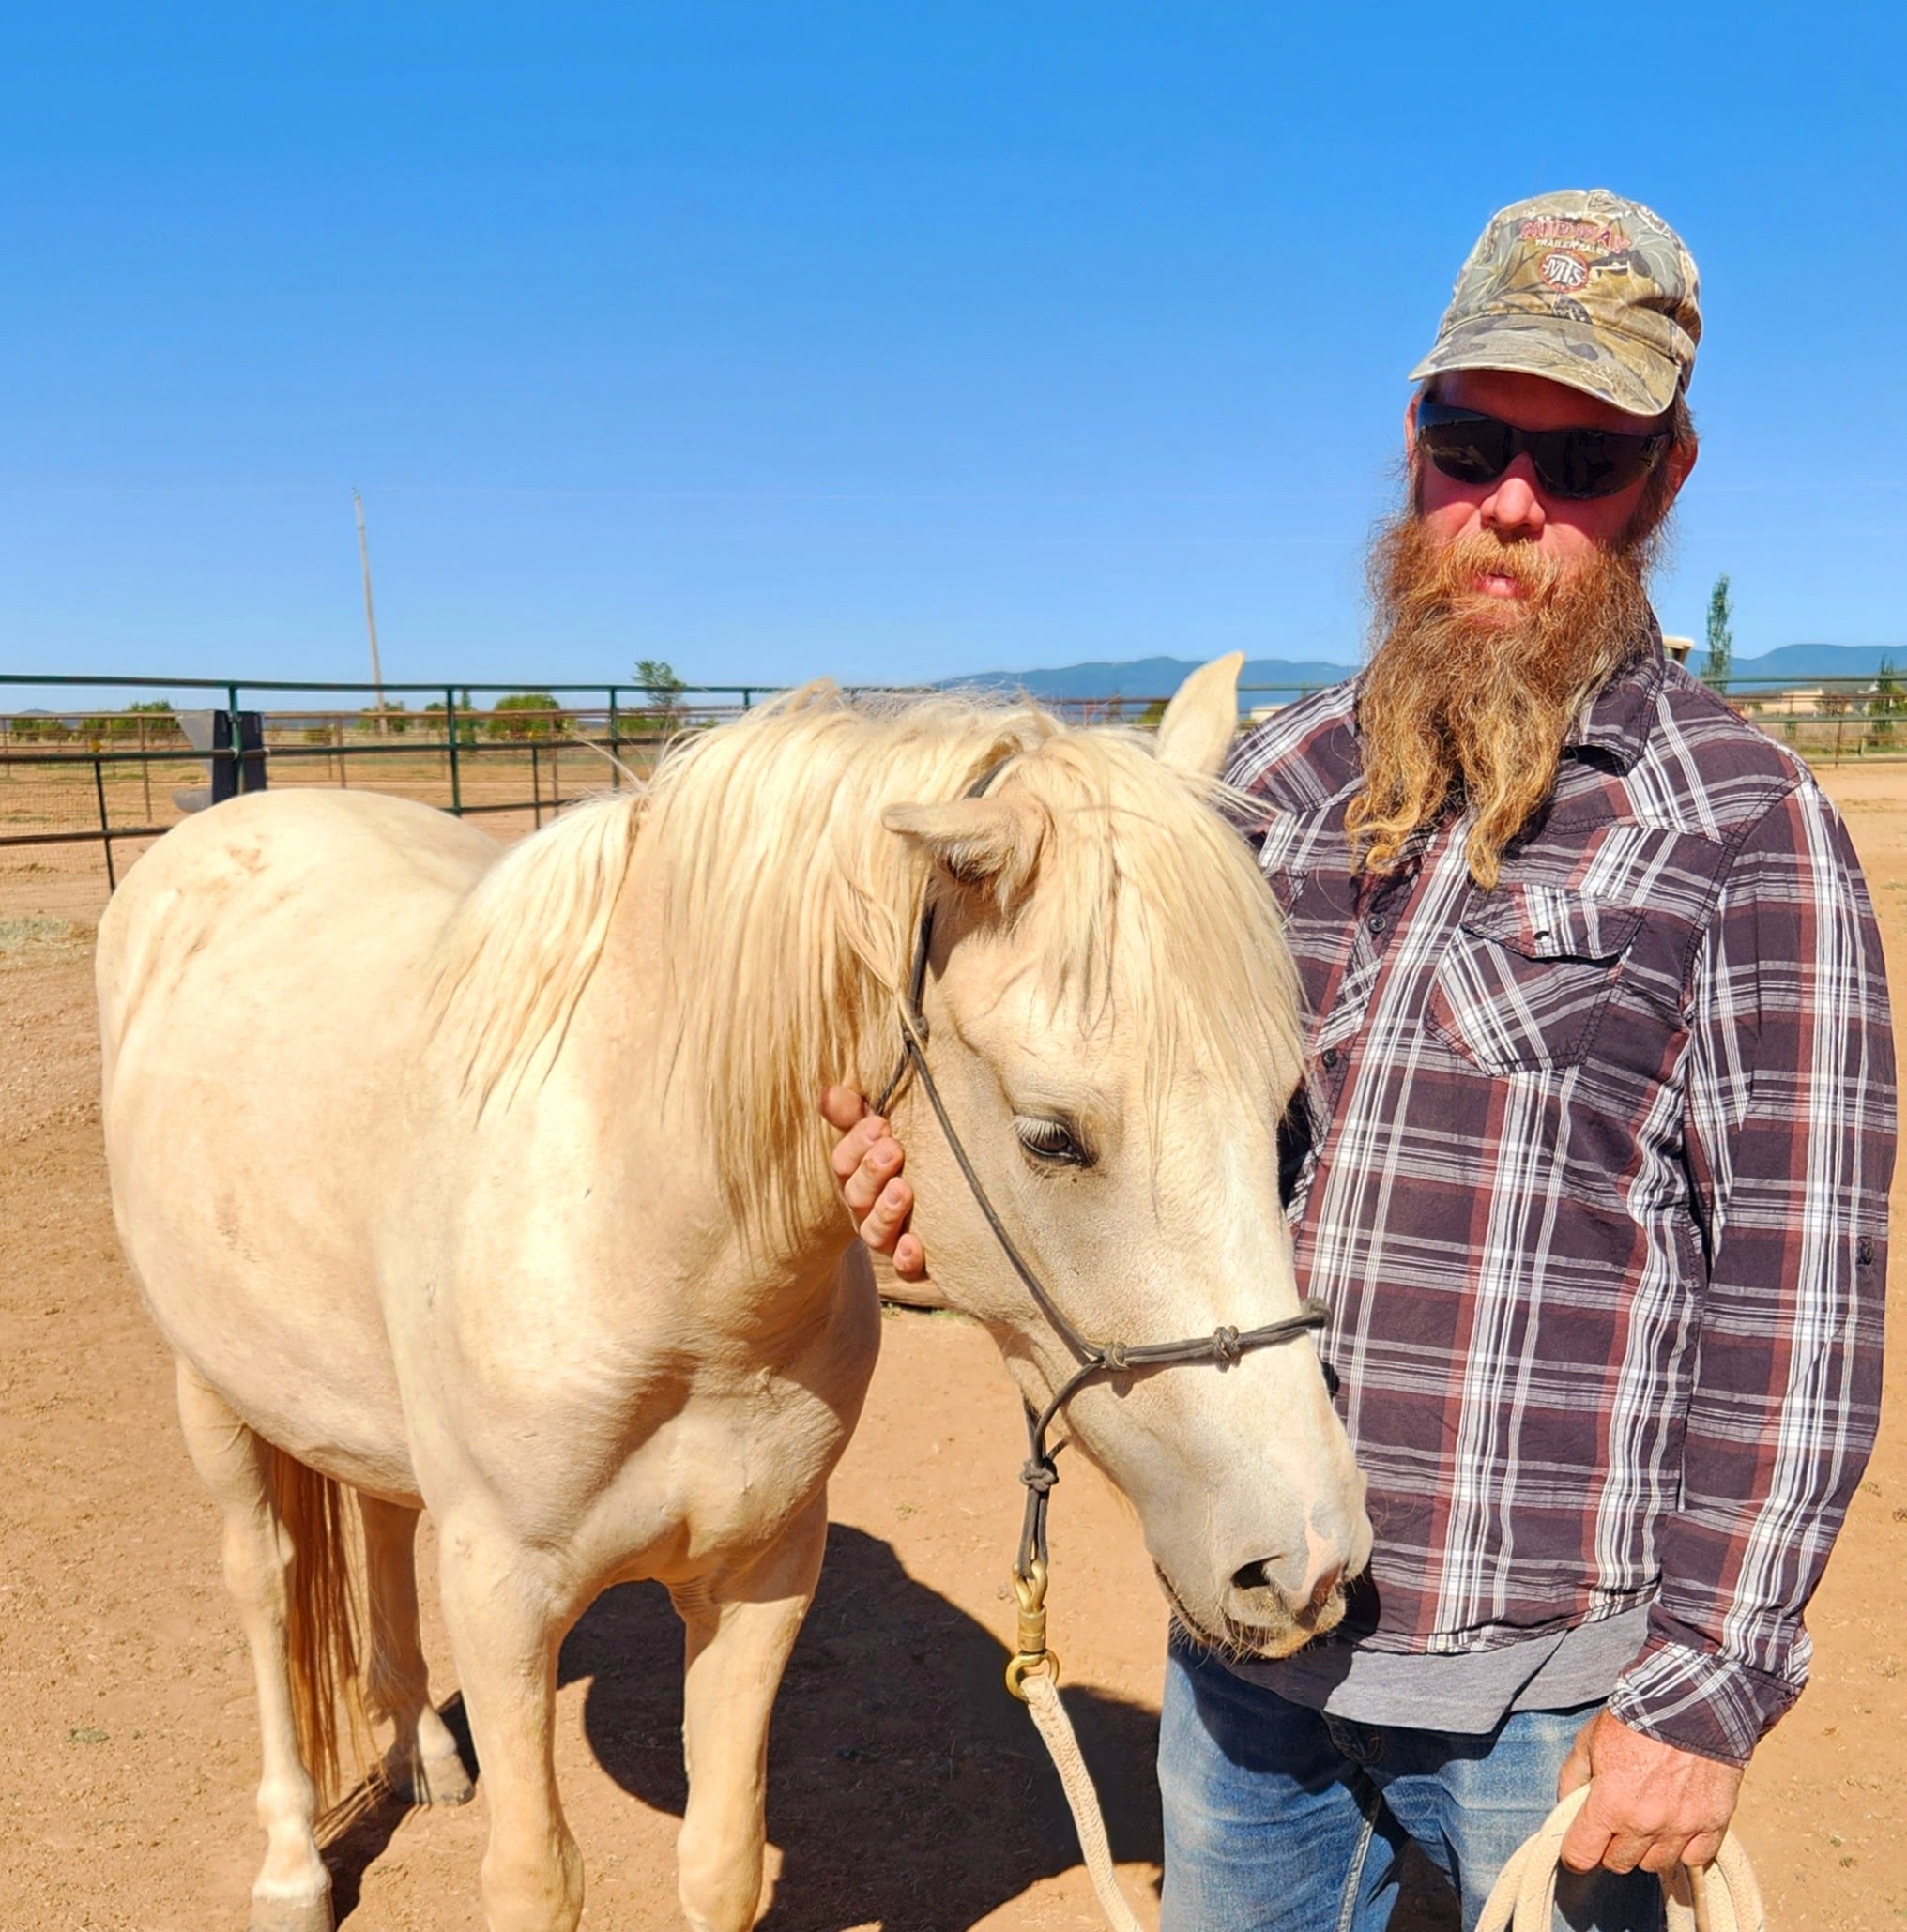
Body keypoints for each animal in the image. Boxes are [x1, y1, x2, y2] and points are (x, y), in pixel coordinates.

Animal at [97, 657, 1375, 1924]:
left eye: (1284, 1110)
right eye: (1052, 1136)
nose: (1311, 1559)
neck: (650, 1252)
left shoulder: (760, 1576)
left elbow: (719, 1859)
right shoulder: (502, 1600)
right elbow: (534, 1879)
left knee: (376, 1517)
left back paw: (420, 1746)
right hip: (212, 1392)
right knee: (265, 1590)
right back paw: (291, 1866)